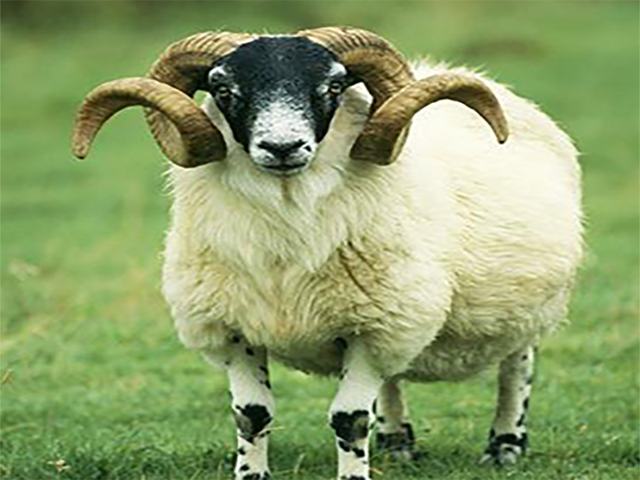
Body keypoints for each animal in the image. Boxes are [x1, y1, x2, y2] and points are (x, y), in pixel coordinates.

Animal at [71, 27, 583, 480]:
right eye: (223, 88)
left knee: (516, 369)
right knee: (394, 380)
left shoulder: (371, 331)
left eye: (334, 86)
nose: (282, 147)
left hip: (524, 307)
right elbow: (251, 415)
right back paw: (397, 444)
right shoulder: (237, 327)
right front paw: (251, 474)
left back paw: (505, 447)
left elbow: (349, 419)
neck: (284, 238)